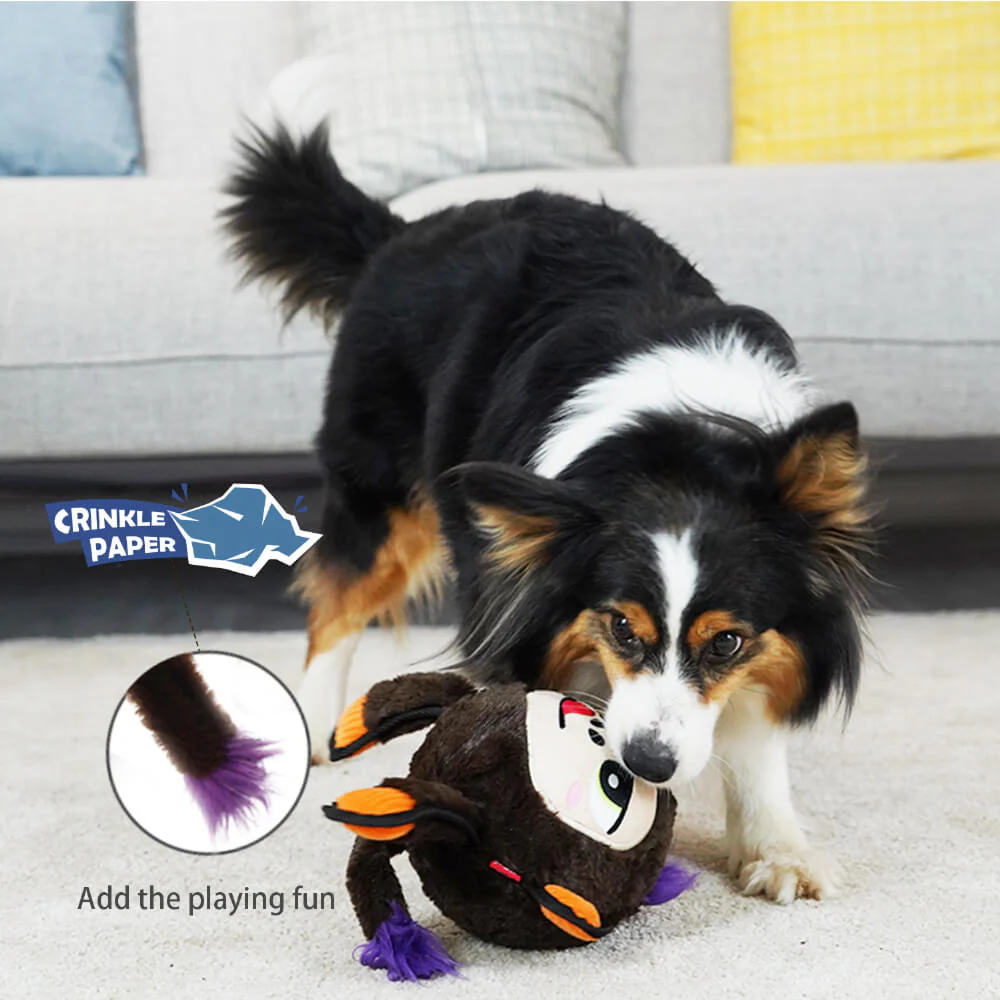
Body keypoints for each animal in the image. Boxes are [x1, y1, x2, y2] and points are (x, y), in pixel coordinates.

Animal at [223, 125, 872, 904]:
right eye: (620, 626)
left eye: (726, 643)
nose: (649, 764)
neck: (678, 448)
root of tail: (404, 230)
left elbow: (753, 734)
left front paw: (777, 847)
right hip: (378, 484)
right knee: (340, 598)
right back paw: (320, 721)